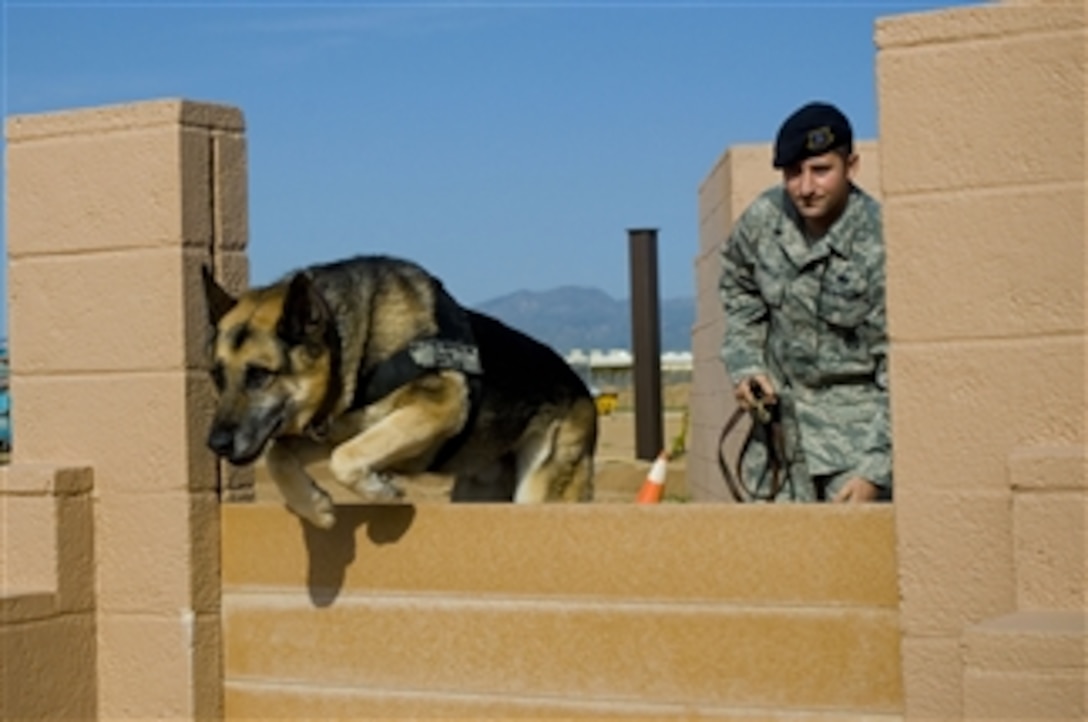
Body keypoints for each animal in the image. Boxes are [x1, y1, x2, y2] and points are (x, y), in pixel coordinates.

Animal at [200, 256, 600, 528]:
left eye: (259, 375)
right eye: (216, 376)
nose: (216, 445)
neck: (348, 349)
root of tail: (582, 389)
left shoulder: (439, 407)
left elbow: (344, 458)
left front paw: (380, 490)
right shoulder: (334, 430)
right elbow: (279, 454)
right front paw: (315, 507)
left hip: (539, 490)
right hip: (474, 494)